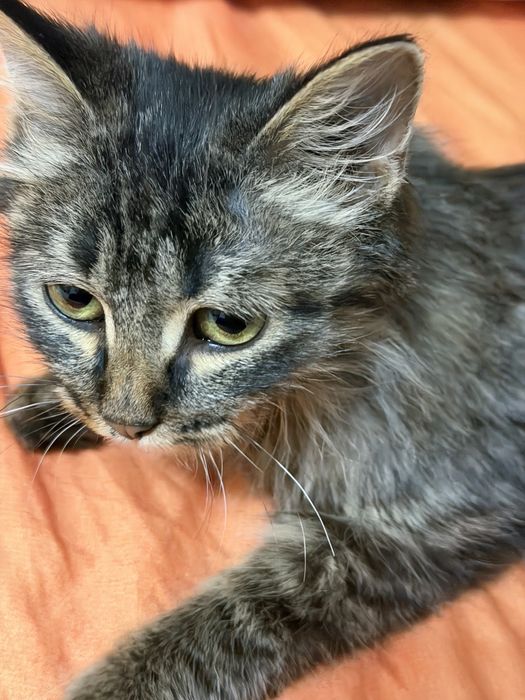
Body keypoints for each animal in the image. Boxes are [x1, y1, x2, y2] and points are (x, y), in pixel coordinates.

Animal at [0, 1, 524, 699]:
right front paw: (51, 404)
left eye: (228, 326)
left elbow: (220, 628)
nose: (126, 425)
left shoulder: (403, 531)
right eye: (74, 300)